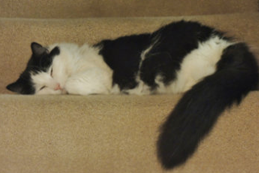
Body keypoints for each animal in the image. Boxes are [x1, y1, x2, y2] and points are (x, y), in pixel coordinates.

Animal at [6, 20, 259, 170]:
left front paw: (73, 86)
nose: (56, 86)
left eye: (50, 71)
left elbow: (74, 82)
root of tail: (227, 45)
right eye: (41, 88)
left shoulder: (100, 74)